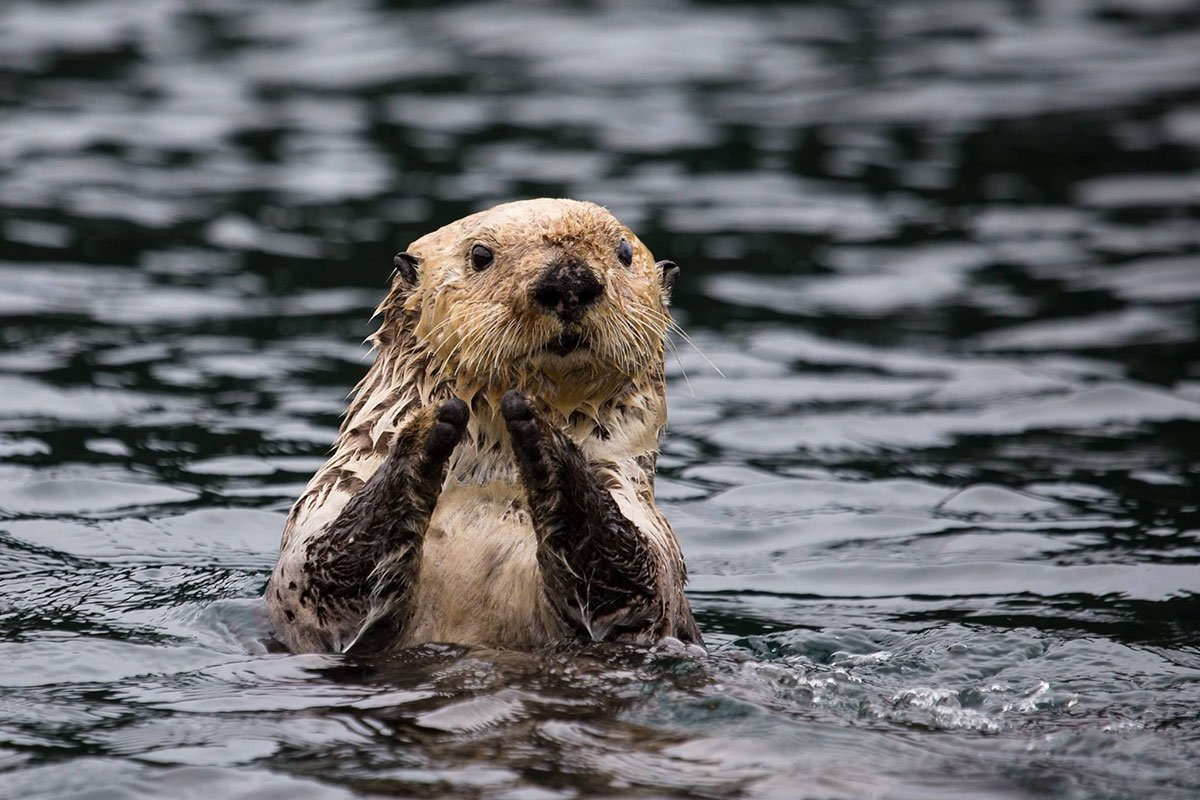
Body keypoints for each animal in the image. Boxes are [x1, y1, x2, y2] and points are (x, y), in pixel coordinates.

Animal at [265, 198, 701, 654]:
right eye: (480, 255)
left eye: (624, 252)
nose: (568, 280)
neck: (490, 480)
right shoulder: (321, 513)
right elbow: (327, 574)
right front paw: (430, 425)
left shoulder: (650, 533)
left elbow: (630, 579)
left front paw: (537, 425)